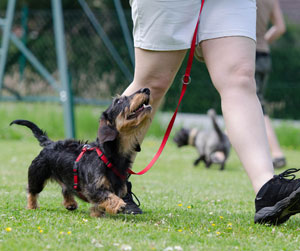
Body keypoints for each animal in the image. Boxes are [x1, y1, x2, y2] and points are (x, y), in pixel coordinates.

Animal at [10, 88, 152, 218]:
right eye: (119, 101)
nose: (146, 89)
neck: (108, 155)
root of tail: (49, 143)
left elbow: (100, 203)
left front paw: (97, 213)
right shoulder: (92, 188)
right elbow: (107, 196)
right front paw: (119, 204)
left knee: (65, 188)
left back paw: (70, 203)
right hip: (37, 175)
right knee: (32, 191)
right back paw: (31, 206)